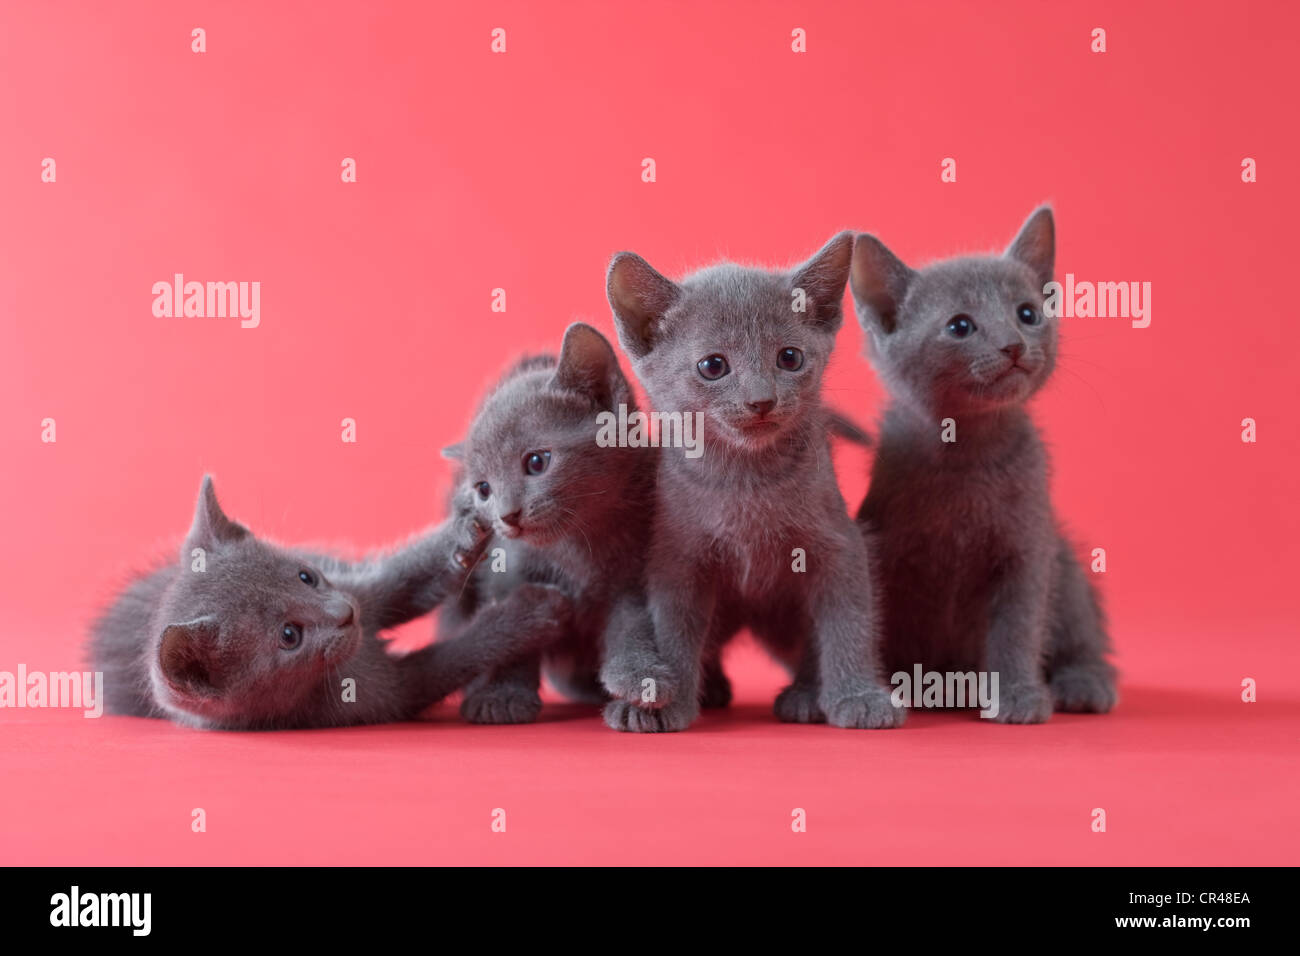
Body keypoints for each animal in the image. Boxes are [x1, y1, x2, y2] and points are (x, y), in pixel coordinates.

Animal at [86, 476, 564, 728]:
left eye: (306, 576)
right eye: (289, 635)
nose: (344, 615)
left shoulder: (361, 588)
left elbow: (408, 574)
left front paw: (469, 531)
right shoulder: (386, 694)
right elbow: (454, 657)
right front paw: (530, 611)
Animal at [439, 321, 660, 723]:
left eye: (537, 461)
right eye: (484, 489)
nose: (507, 516)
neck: (577, 550)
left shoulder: (635, 576)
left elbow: (633, 627)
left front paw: (642, 682)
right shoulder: (508, 573)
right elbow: (515, 633)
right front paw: (501, 696)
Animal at [600, 231, 899, 733]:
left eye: (790, 357)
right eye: (713, 366)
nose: (761, 400)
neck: (746, 479)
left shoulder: (841, 544)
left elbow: (849, 623)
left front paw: (858, 695)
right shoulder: (677, 556)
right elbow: (673, 630)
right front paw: (661, 704)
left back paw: (804, 694)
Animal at [852, 205, 1118, 723]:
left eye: (1027, 314)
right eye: (960, 326)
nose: (1013, 345)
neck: (970, 450)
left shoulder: (1028, 547)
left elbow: (1018, 626)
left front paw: (1017, 695)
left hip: (1065, 559)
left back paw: (1084, 682)